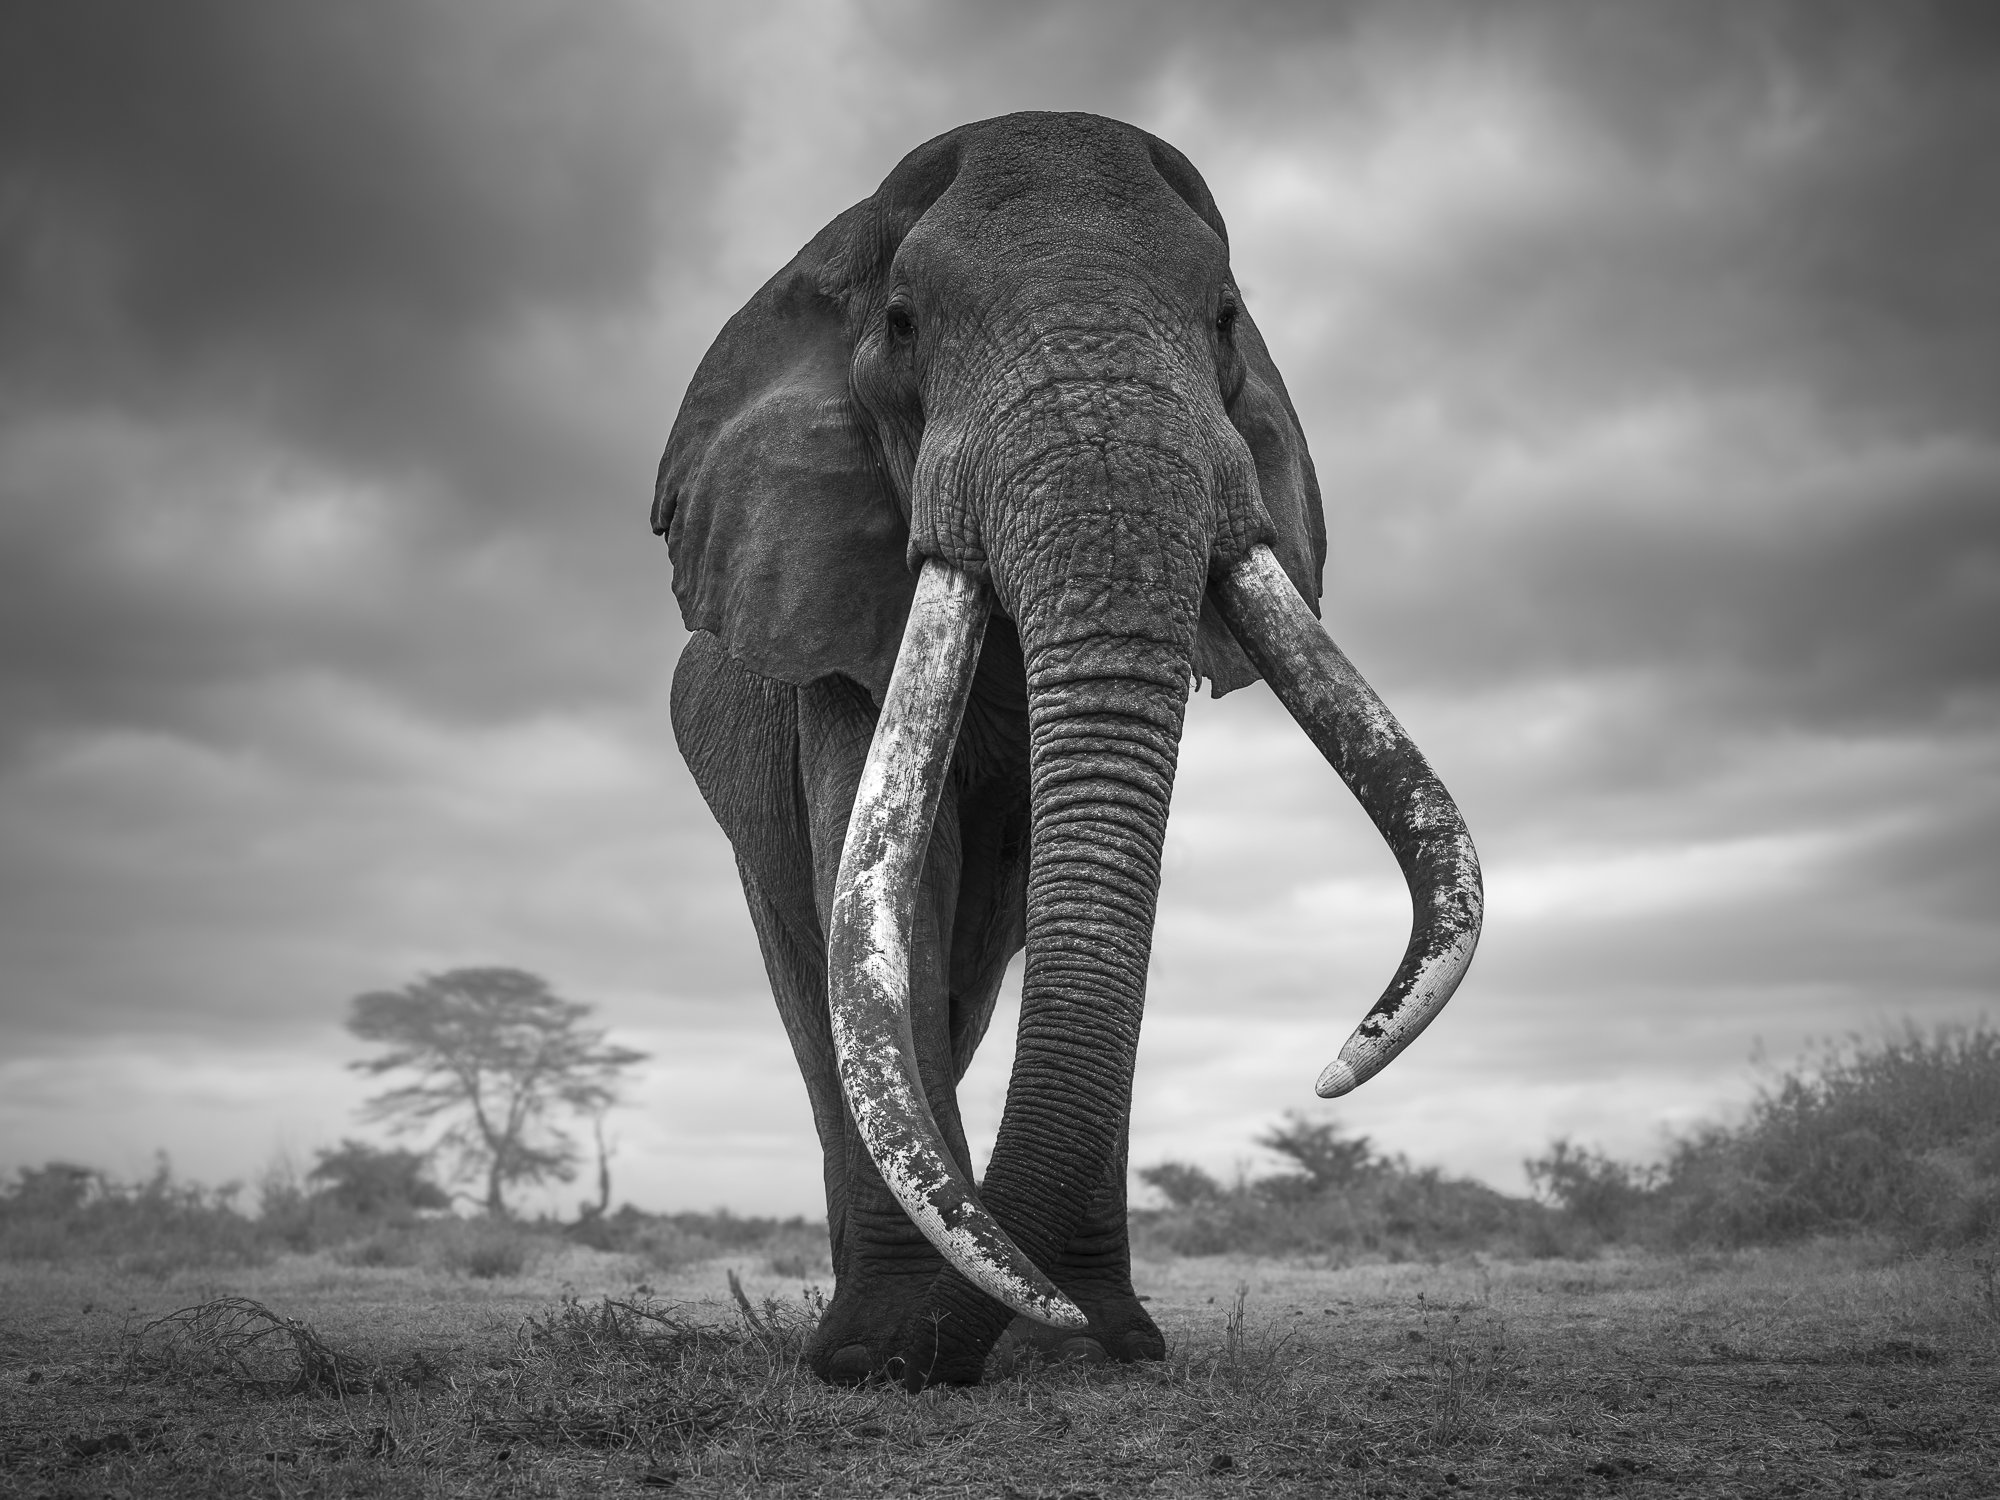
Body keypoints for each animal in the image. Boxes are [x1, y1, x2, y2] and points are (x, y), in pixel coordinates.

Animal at [653, 112, 1481, 1388]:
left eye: (1225, 319)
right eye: (902, 323)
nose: (1329, 1074)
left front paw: (1105, 1344)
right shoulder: (830, 616)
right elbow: (892, 879)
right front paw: (887, 1358)